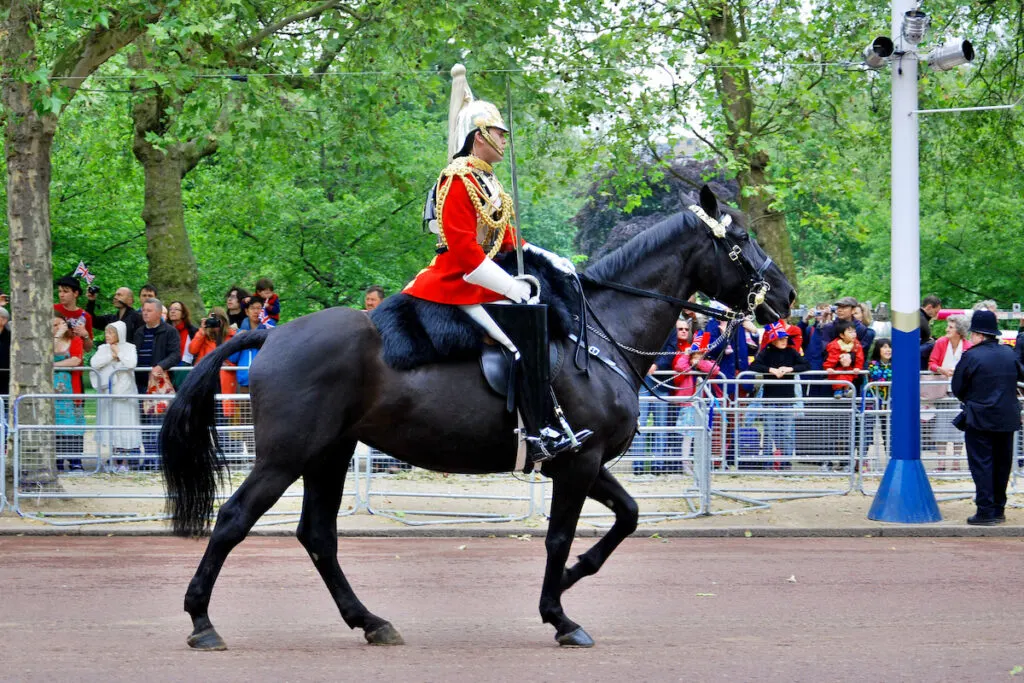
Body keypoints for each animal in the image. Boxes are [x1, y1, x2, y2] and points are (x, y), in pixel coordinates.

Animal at [163, 187, 794, 651]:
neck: (596, 334)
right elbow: (560, 536)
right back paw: (201, 621)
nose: (786, 296)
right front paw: (559, 615)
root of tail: (270, 333)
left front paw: (571, 580)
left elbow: (628, 517)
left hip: (329, 454)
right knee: (234, 520)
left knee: (318, 536)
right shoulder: (578, 461)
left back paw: (370, 622)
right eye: (740, 240)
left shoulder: (582, 457)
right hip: (285, 456)